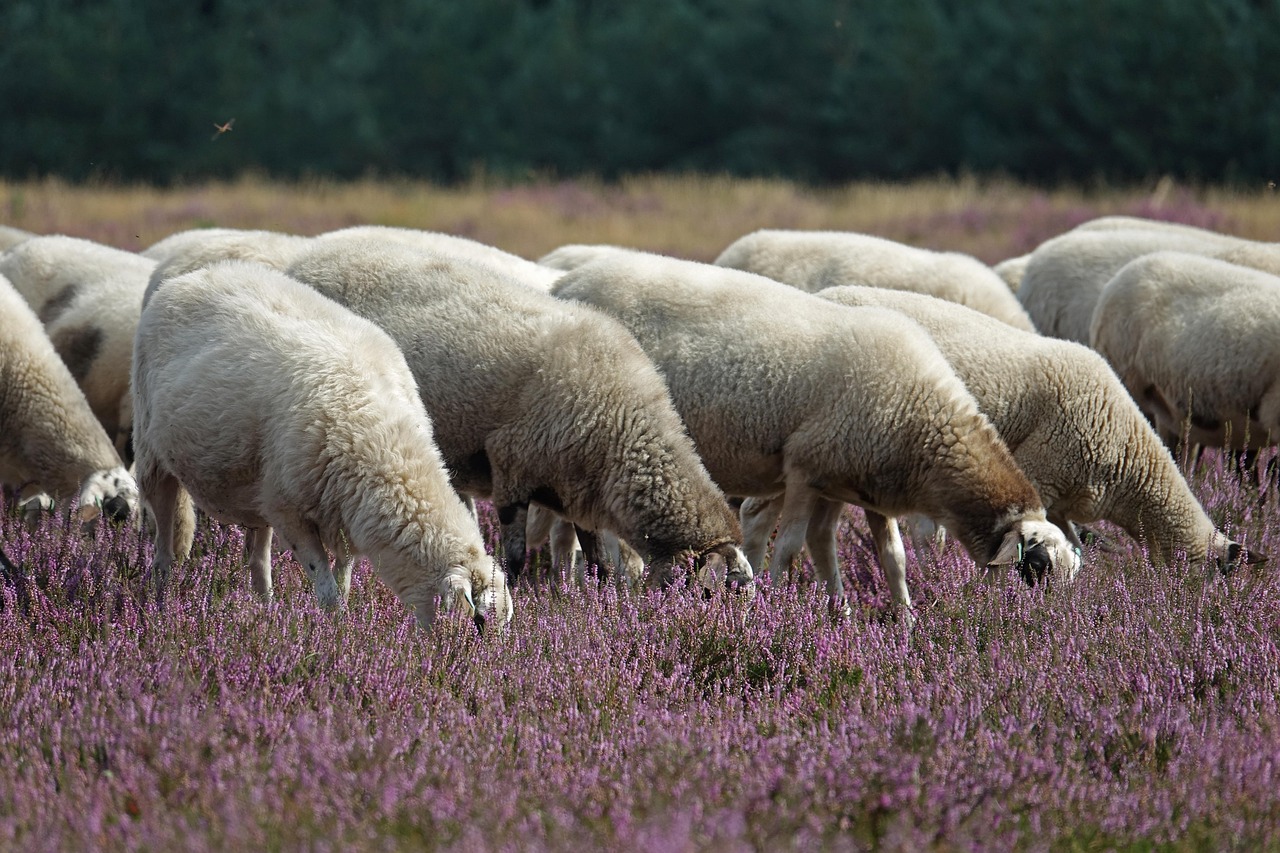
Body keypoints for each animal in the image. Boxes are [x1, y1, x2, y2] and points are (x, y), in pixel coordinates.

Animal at [132, 260, 512, 629]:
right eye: (478, 621)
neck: (383, 438)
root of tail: (196, 275)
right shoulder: (291, 514)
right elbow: (326, 589)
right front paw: (336, 629)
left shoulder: (342, 515)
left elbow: (341, 581)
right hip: (152, 453)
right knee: (163, 546)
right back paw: (160, 604)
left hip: (259, 491)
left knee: (257, 559)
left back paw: (265, 610)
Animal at [284, 236, 752, 591]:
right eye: (710, 593)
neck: (620, 428)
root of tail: (305, 259)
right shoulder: (512, 468)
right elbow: (515, 555)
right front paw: (516, 590)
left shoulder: (575, 491)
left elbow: (598, 561)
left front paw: (598, 600)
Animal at [550, 252, 1082, 617]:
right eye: (1038, 568)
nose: (1046, 625)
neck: (923, 422)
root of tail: (566, 282)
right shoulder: (804, 471)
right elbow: (791, 548)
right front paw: (780, 610)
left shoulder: (855, 485)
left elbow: (887, 557)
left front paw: (895, 620)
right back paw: (610, 584)